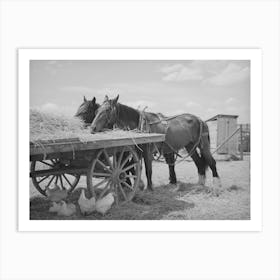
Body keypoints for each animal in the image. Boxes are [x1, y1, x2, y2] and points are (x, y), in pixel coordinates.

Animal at [89, 95, 221, 191]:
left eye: (107, 110)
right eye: (97, 110)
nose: (92, 128)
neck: (140, 124)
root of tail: (200, 120)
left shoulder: (147, 152)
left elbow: (148, 170)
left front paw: (149, 188)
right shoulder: (137, 151)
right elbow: (135, 168)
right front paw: (139, 185)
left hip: (203, 145)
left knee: (211, 162)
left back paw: (216, 184)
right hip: (190, 146)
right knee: (199, 163)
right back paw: (200, 184)